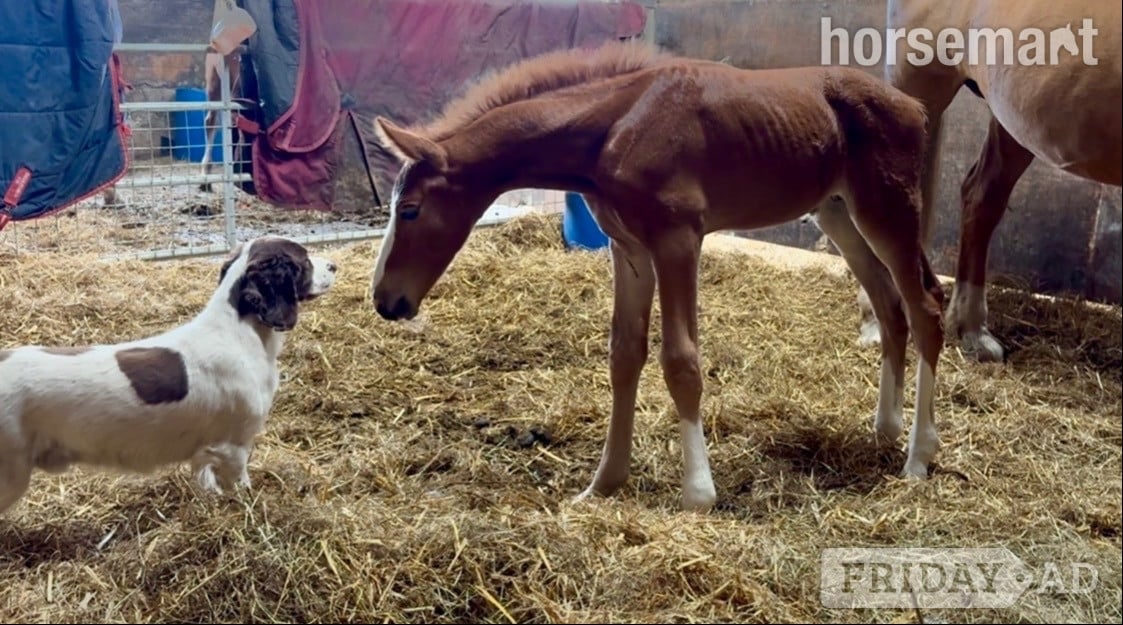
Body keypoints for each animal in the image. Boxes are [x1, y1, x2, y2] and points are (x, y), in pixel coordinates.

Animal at [368, 40, 946, 512]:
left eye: (411, 209)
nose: (384, 301)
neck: (614, 127)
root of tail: (912, 106)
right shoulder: (630, 250)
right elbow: (625, 355)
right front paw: (603, 483)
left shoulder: (678, 241)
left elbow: (681, 361)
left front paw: (698, 493)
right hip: (838, 213)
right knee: (889, 305)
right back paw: (886, 430)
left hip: (888, 209)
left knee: (926, 308)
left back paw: (918, 458)